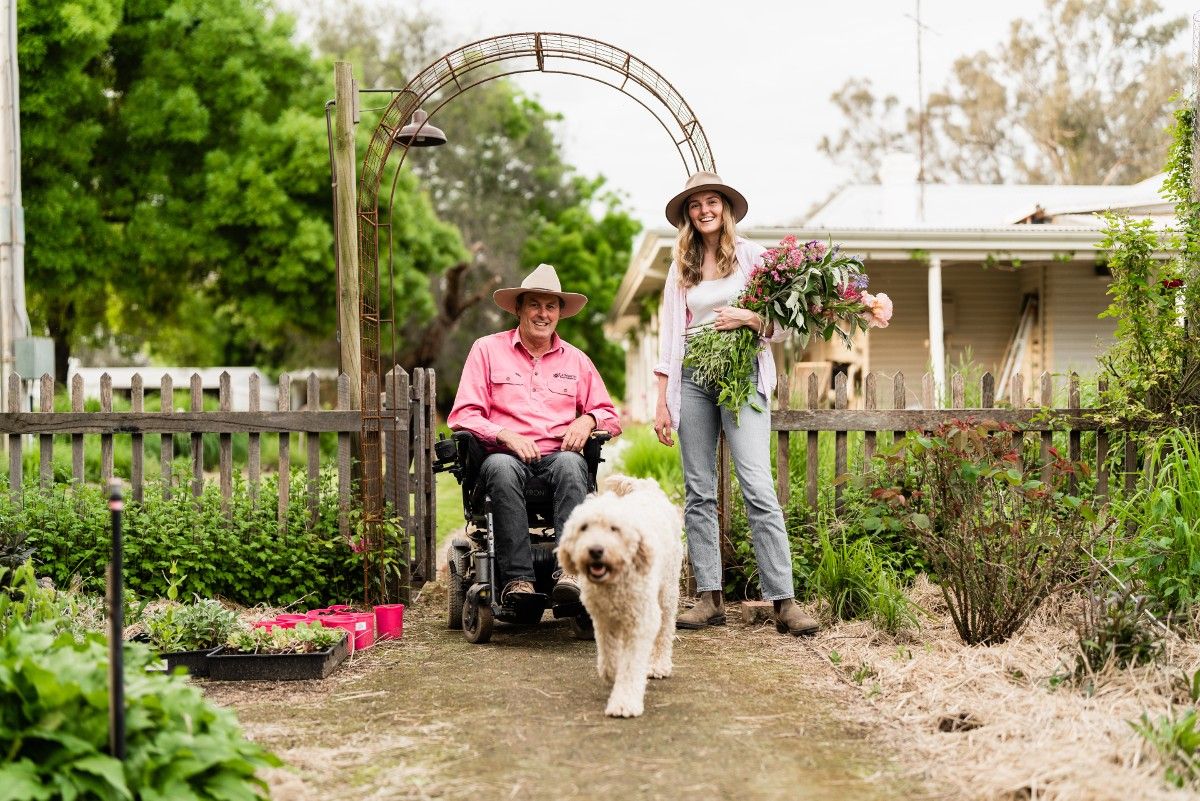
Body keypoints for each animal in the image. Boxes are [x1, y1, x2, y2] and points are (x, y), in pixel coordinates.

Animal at [556, 472, 681, 714]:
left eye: (614, 529)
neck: (613, 581)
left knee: (665, 630)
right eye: (584, 527)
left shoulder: (641, 620)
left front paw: (624, 703)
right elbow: (609, 653)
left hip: (667, 592)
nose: (596, 550)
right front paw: (612, 671)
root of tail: (648, 489)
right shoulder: (603, 619)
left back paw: (659, 665)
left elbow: (631, 665)